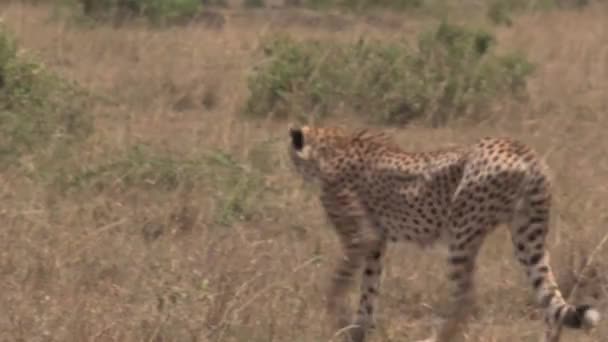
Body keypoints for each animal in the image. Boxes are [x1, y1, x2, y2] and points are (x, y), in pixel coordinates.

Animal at [288, 125, 600, 342]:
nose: (293, 170)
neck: (331, 143)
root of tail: (521, 148)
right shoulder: (376, 242)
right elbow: (368, 288)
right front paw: (358, 329)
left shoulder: (361, 237)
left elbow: (338, 282)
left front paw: (336, 317)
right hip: (528, 237)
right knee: (549, 295)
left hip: (462, 234)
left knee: (466, 300)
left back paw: (434, 338)